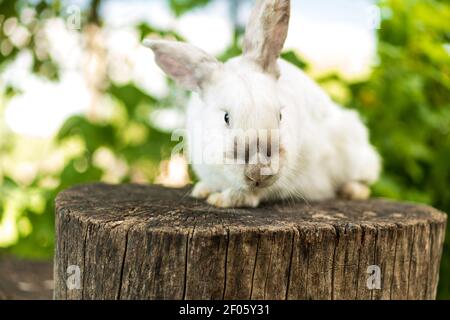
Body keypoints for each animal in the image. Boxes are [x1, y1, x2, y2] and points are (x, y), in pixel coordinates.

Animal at [143, 0, 380, 208]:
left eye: (280, 116)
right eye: (226, 117)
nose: (258, 170)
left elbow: (257, 194)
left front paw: (225, 199)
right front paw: (203, 190)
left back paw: (351, 191)